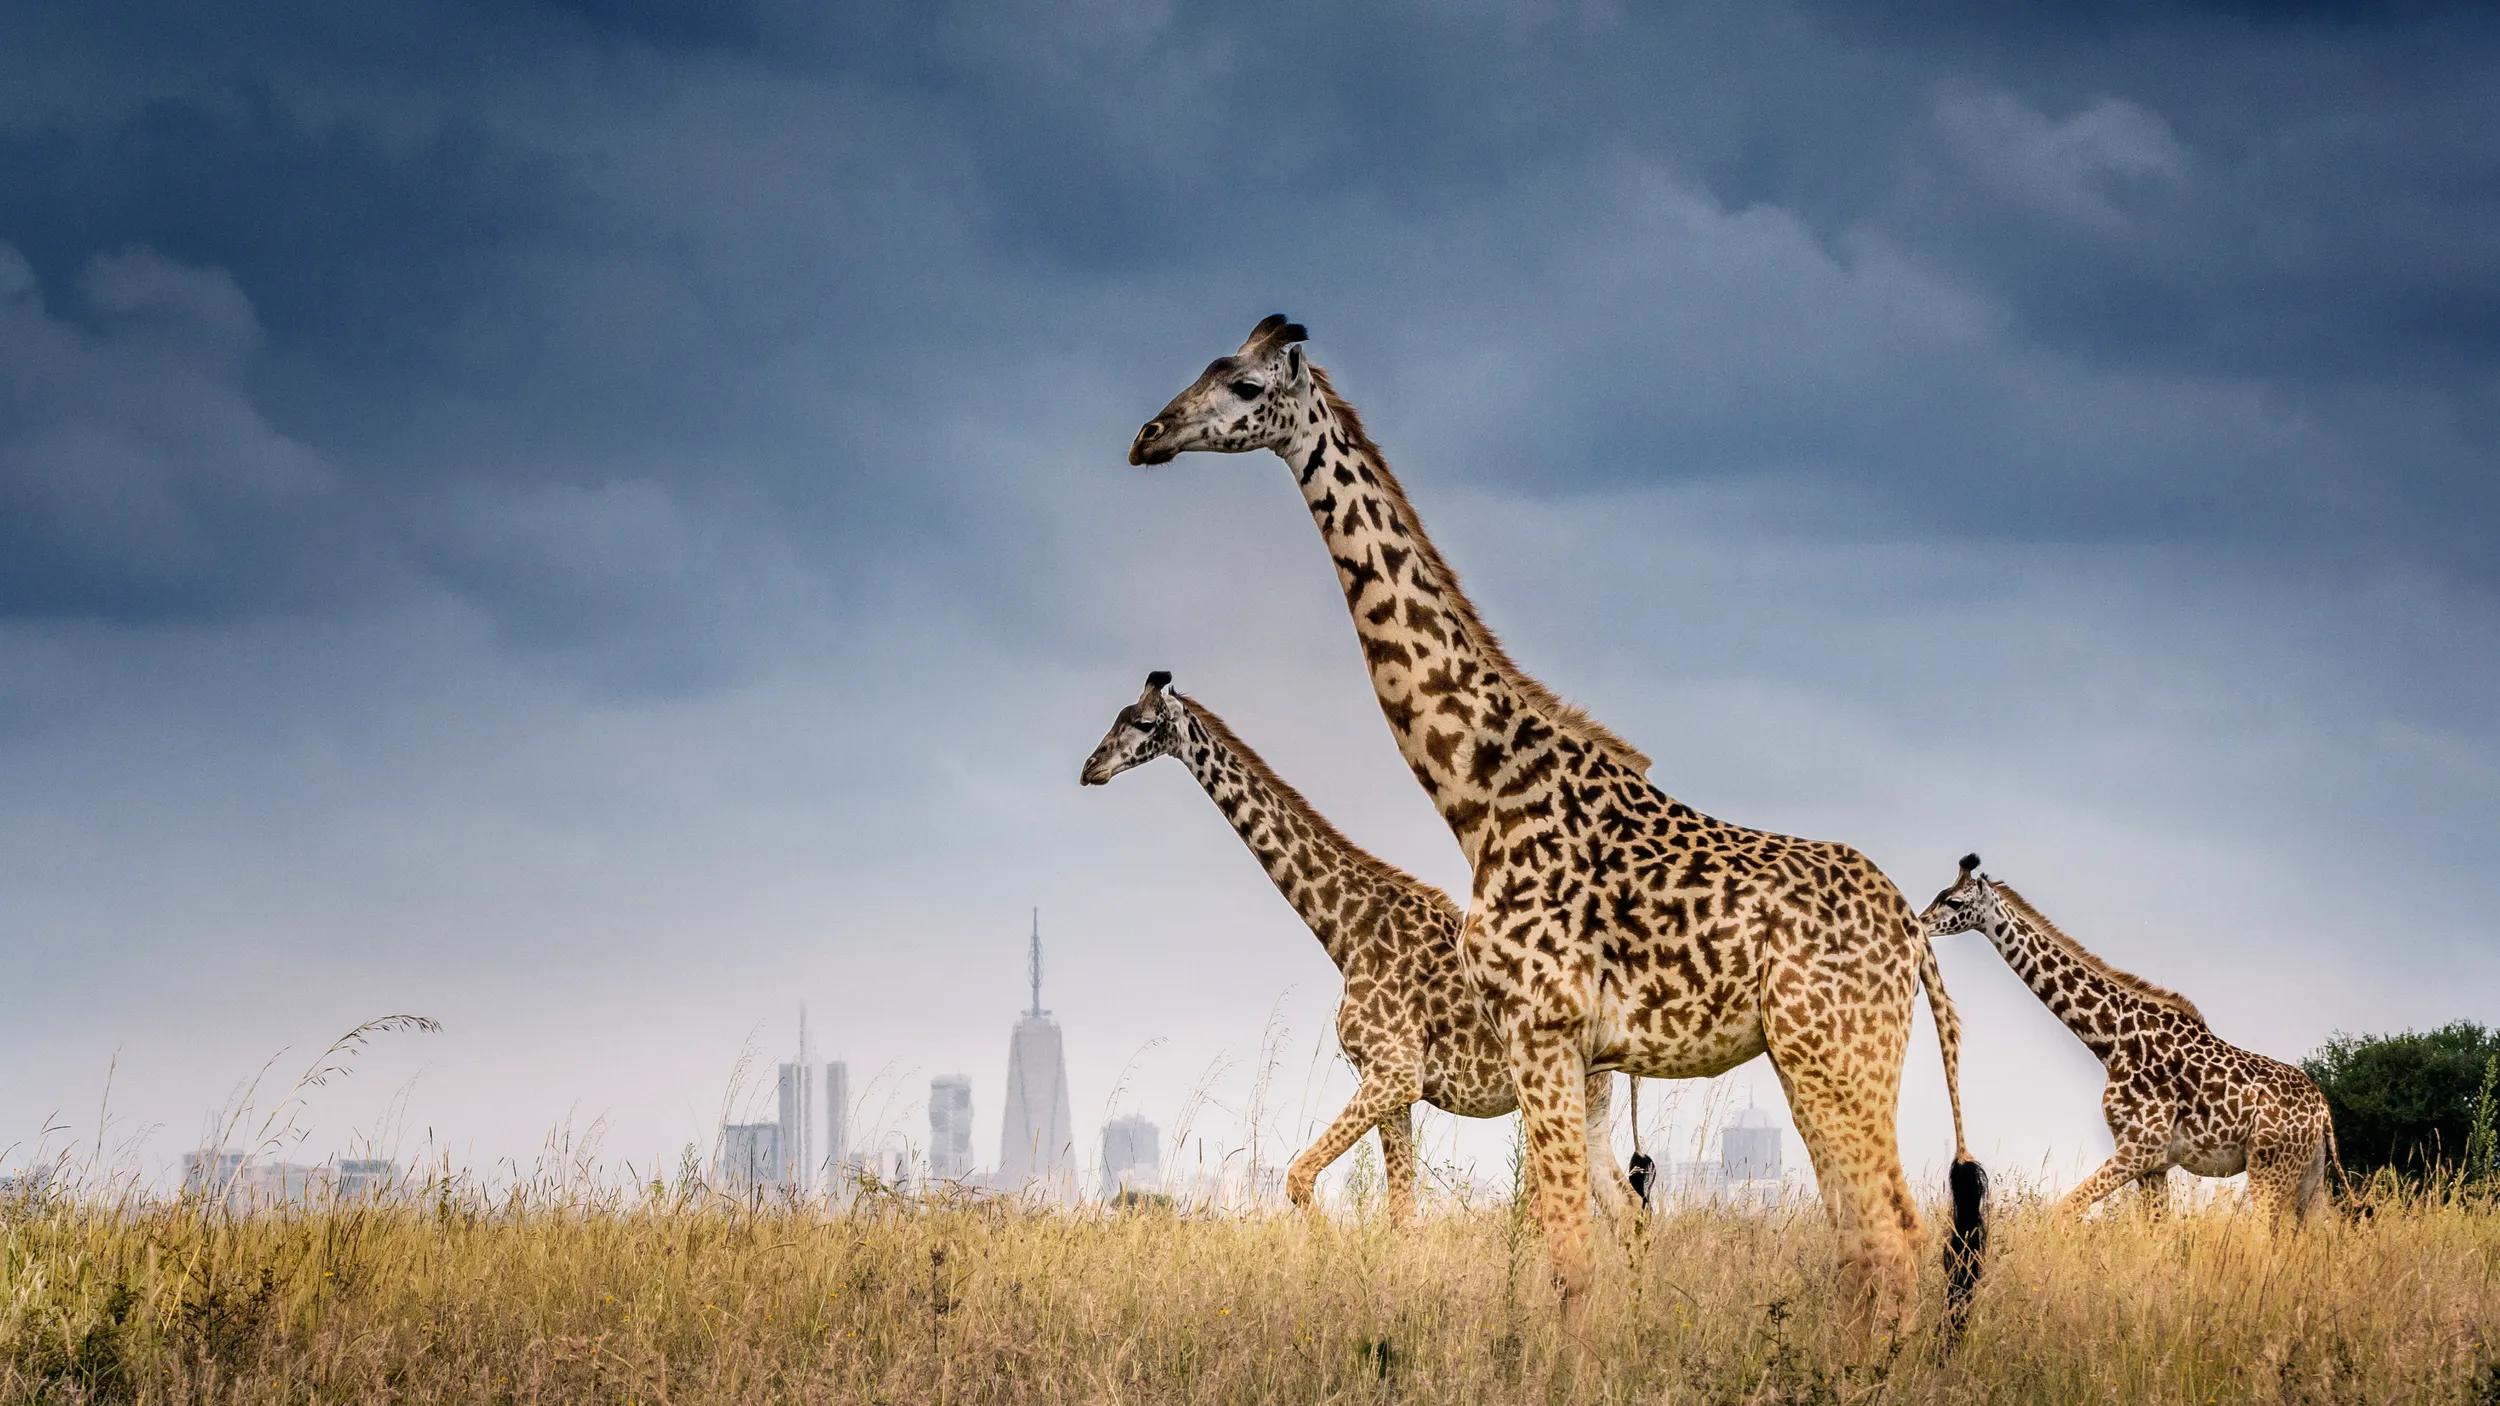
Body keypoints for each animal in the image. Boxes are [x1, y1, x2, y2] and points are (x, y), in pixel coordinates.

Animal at [1079, 670, 1638, 1227]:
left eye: (1144, 722)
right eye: (1116, 717)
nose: (1090, 769)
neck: (1347, 933)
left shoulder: (1395, 1073)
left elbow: (1300, 1176)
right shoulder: (1389, 1085)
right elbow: (1401, 1212)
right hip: (1591, 1104)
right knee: (1627, 1205)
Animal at [1922, 854, 2342, 1224]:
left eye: (1953, 901)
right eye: (1938, 894)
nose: (1921, 923)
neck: (2112, 1041)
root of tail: (2322, 1110)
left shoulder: (2140, 1149)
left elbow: (2065, 1210)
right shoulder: (2153, 1164)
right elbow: (2158, 1231)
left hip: (2269, 1166)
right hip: (2308, 1175)